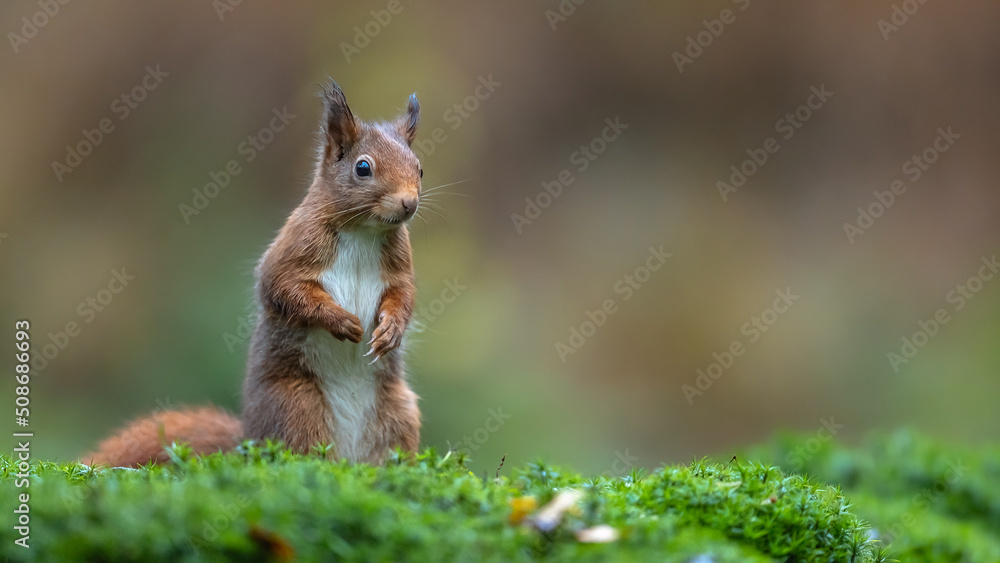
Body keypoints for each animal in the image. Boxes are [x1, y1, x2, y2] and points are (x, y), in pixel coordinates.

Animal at [84, 81, 423, 467]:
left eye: (420, 169)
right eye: (363, 168)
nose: (409, 203)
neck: (364, 231)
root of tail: (249, 439)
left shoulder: (399, 266)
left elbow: (404, 295)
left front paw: (391, 330)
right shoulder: (293, 250)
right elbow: (283, 288)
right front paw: (342, 321)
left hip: (399, 410)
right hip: (297, 406)